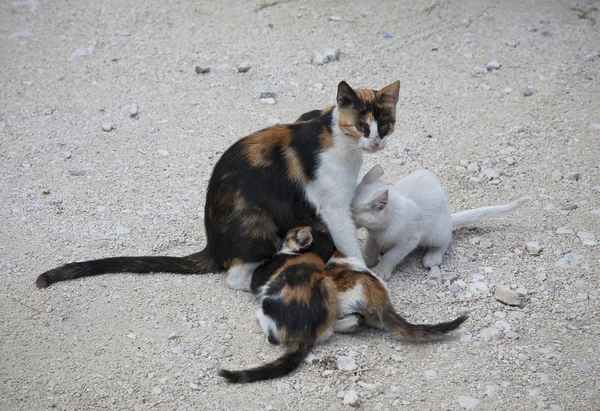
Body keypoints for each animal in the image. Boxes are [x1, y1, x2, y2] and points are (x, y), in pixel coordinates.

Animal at [37, 81, 404, 292]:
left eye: (385, 125)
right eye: (361, 126)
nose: (375, 143)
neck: (338, 139)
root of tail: (212, 246)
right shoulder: (333, 208)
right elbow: (350, 245)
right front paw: (363, 270)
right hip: (257, 224)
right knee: (237, 277)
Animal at [352, 166, 528, 282]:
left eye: (351, 211)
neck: (382, 227)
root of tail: (449, 217)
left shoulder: (410, 240)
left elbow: (392, 256)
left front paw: (380, 271)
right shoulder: (374, 235)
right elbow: (371, 247)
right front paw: (367, 260)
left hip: (437, 232)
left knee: (446, 241)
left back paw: (433, 257)